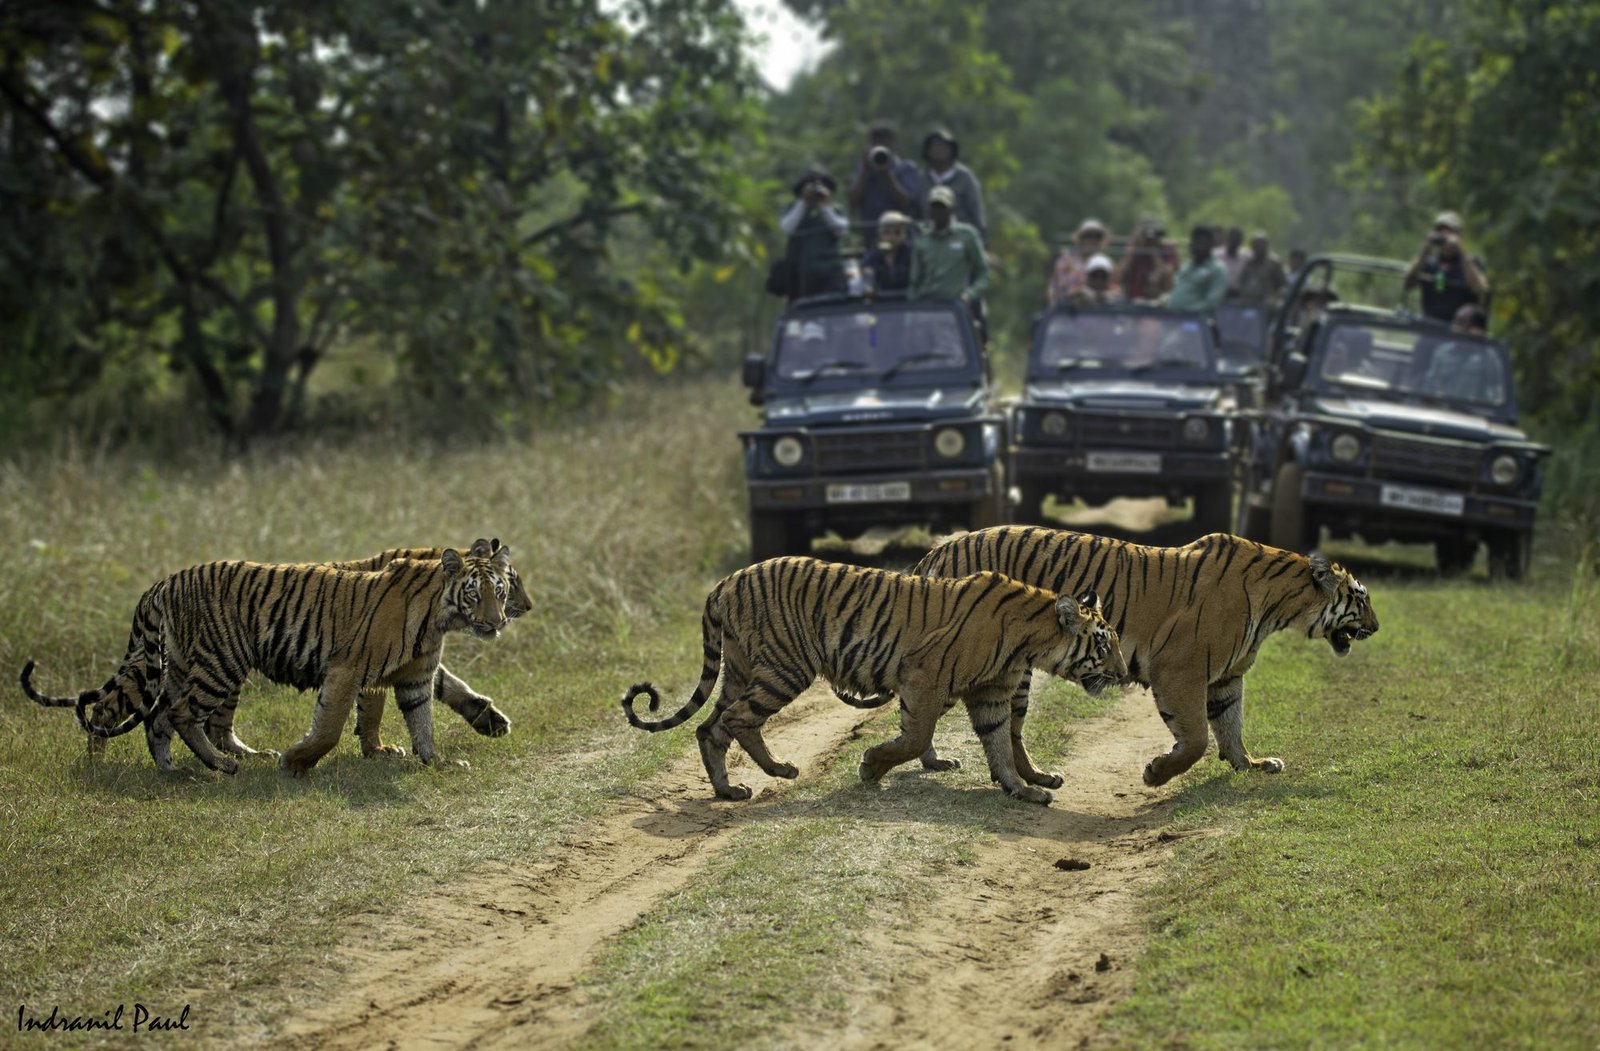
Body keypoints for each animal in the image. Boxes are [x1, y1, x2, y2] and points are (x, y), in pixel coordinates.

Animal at [19, 544, 518, 776]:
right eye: (476, 592)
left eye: (500, 589)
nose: (498, 622)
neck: (440, 618)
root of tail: (164, 582)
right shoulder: (348, 668)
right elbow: (332, 724)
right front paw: (298, 761)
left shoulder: (414, 677)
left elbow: (423, 721)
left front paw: (438, 761)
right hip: (217, 664)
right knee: (173, 714)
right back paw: (219, 765)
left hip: (179, 666)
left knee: (159, 717)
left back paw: (176, 770)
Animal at [621, 556, 1127, 804]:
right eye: (1104, 645)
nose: (1125, 675)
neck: (1032, 637)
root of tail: (724, 582)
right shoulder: (924, 676)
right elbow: (916, 735)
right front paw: (871, 766)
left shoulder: (990, 693)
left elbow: (1000, 743)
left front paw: (1022, 790)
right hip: (786, 666)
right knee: (735, 721)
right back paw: (768, 775)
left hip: (742, 666)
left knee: (711, 725)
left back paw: (735, 786)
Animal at [897, 527, 1379, 788]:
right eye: (1361, 598)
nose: (1376, 627)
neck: (1279, 605)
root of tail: (938, 549)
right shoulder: (1178, 668)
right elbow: (1198, 738)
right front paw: (1156, 773)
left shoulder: (1227, 675)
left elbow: (1231, 724)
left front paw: (1250, 764)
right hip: (976, 661)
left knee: (1000, 728)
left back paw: (1024, 776)